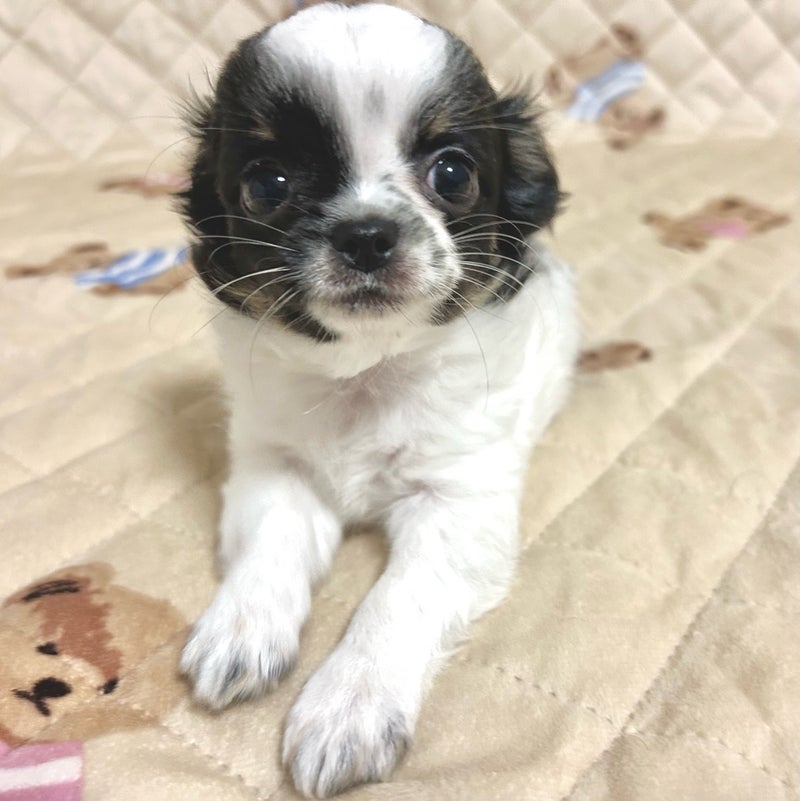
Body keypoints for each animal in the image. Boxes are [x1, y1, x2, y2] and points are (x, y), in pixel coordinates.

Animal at [179, 3, 578, 796]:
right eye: (266, 185)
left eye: (452, 173)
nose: (366, 233)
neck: (367, 373)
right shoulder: (274, 469)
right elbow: (271, 546)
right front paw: (240, 627)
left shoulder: (457, 503)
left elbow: (395, 597)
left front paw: (350, 704)